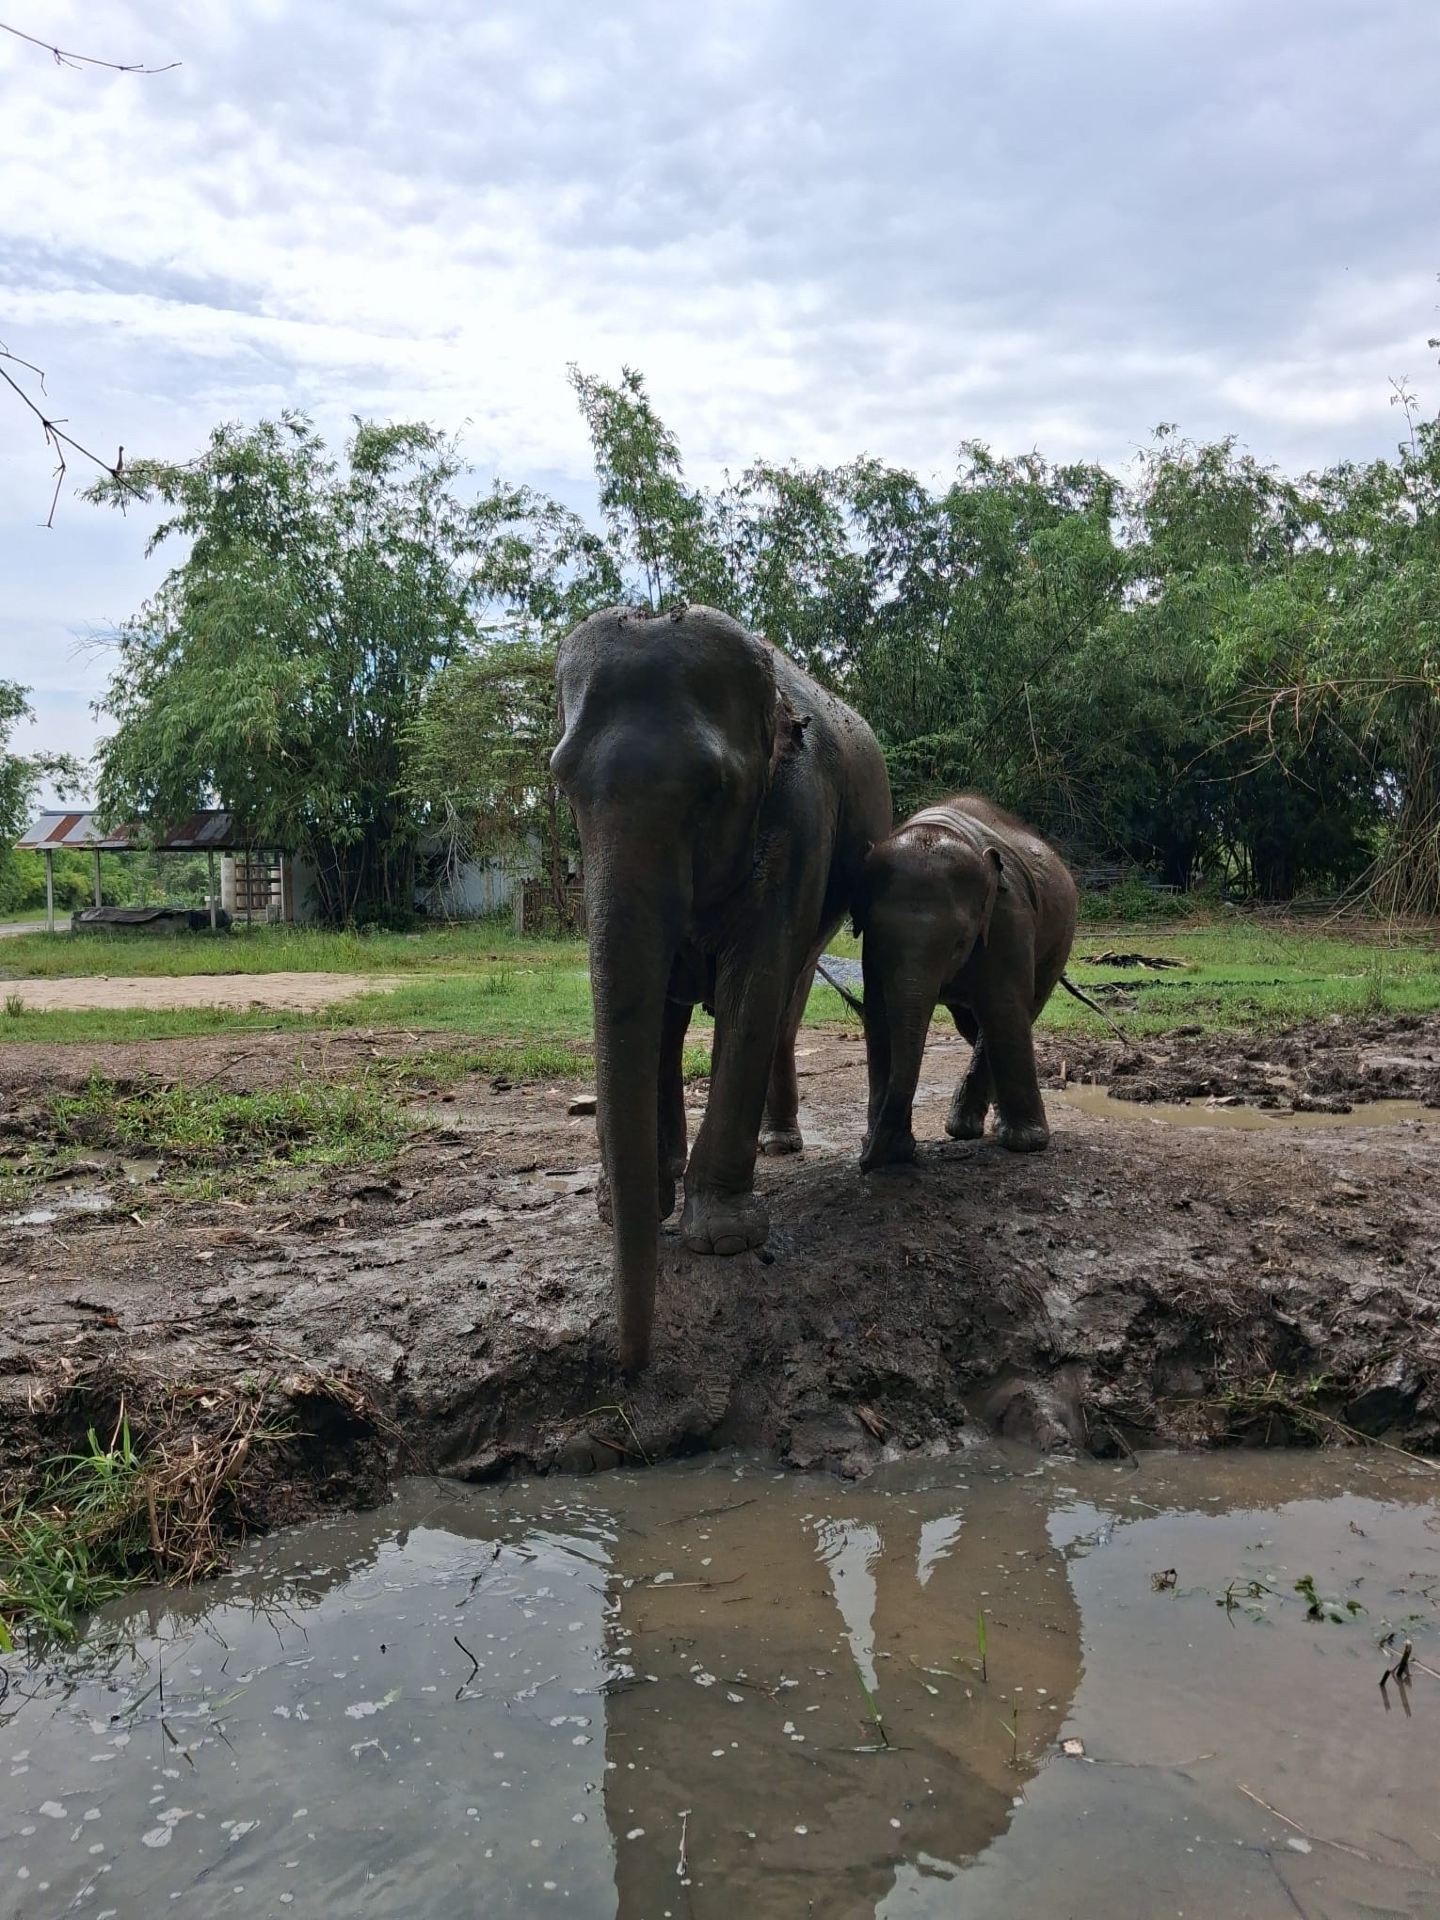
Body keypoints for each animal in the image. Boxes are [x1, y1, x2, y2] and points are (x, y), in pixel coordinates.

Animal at [551, 604, 892, 1372]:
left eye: (711, 789)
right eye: (562, 782)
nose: (631, 1364)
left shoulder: (799, 817)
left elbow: (754, 984)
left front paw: (725, 1239)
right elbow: (652, 1000)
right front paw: (625, 1210)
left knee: (787, 993)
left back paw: (779, 1144)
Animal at [854, 794, 1077, 1171]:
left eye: (960, 943)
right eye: (878, 939)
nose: (865, 1160)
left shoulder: (1007, 916)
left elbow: (1003, 1007)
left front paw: (1028, 1145)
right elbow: (879, 1016)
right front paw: (891, 1149)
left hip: (1059, 940)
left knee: (1013, 1014)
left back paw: (981, 1130)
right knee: (972, 1027)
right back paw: (969, 1127)